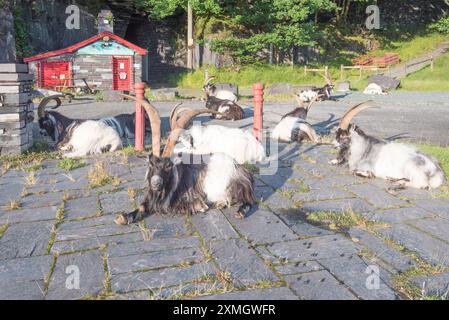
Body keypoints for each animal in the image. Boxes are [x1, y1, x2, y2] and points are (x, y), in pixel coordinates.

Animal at [113, 97, 256, 225]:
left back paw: (239, 211)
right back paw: (221, 203)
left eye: (168, 165)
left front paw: (201, 206)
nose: (155, 183)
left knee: (248, 201)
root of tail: (242, 168)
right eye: (151, 163)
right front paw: (123, 217)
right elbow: (142, 206)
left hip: (235, 186)